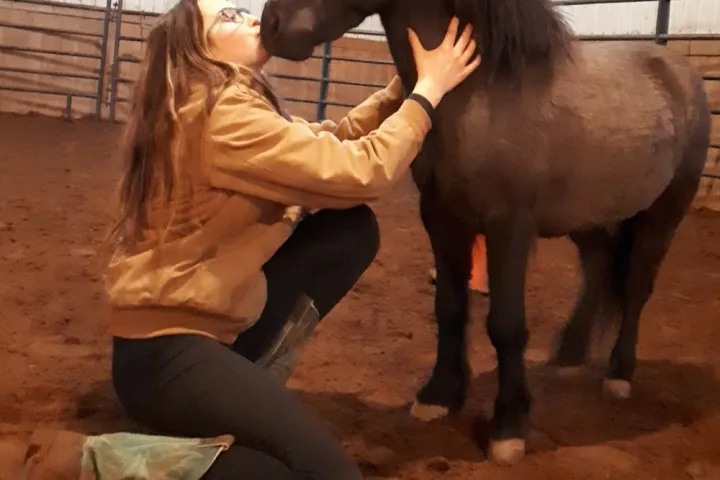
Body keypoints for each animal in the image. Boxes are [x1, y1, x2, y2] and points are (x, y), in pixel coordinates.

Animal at [259, 0, 711, 466]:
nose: (272, 27)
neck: (482, 92)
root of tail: (679, 71)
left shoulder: (508, 226)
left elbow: (506, 326)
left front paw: (508, 427)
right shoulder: (440, 218)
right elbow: (449, 308)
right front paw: (439, 395)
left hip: (664, 212)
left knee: (636, 290)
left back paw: (619, 375)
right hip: (586, 217)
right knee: (599, 267)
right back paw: (569, 354)